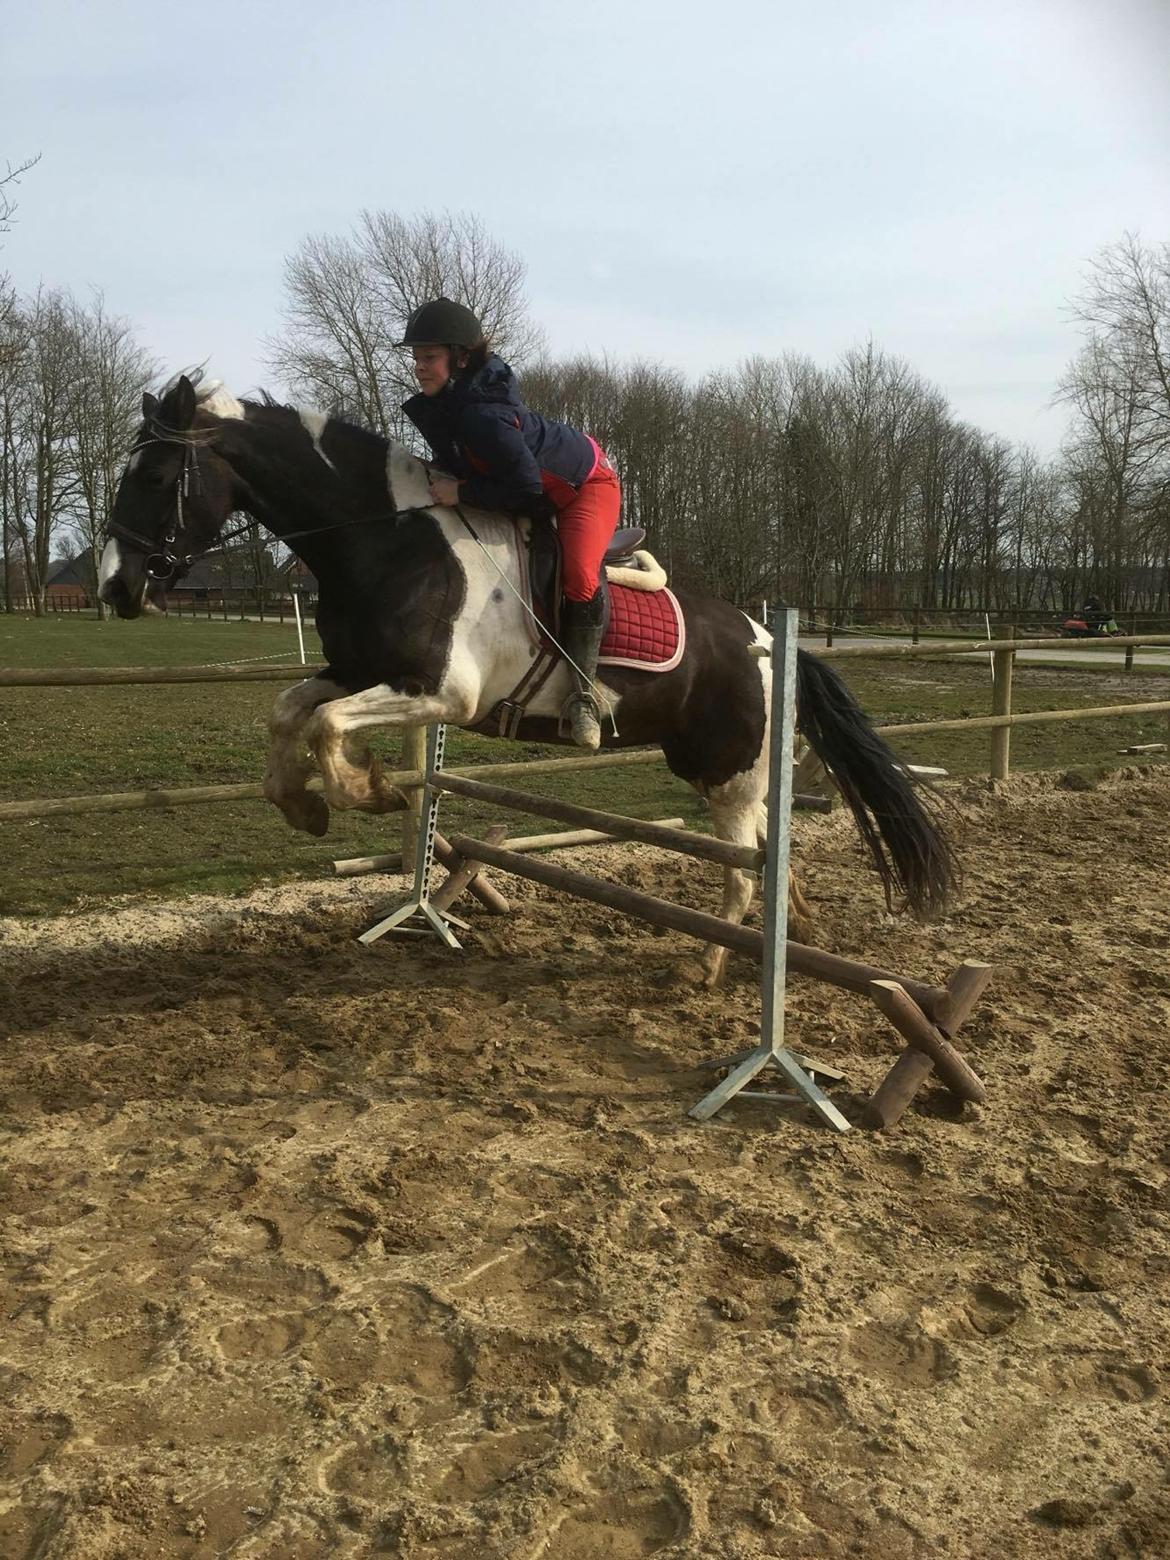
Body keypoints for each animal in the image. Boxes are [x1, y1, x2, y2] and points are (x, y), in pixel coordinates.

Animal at [98, 371, 960, 979]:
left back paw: (711, 964)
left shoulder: (440, 695)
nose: (115, 588)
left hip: (729, 772)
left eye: (153, 477)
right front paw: (304, 804)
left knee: (745, 870)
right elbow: (291, 711)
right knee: (767, 856)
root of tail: (771, 643)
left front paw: (365, 791)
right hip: (715, 766)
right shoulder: (357, 671)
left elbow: (327, 725)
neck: (388, 538)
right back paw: (793, 928)